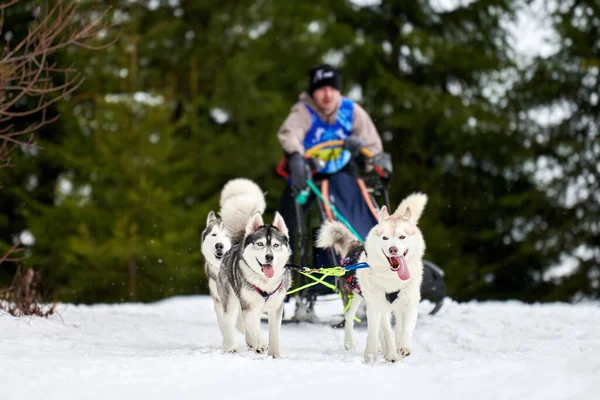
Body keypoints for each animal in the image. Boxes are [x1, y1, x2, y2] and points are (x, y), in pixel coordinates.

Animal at [217, 211, 292, 358]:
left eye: (276, 245)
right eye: (260, 243)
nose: (269, 257)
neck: (265, 283)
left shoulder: (276, 308)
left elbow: (274, 334)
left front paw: (274, 355)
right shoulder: (249, 307)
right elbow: (255, 328)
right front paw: (261, 344)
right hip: (230, 300)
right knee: (227, 321)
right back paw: (231, 346)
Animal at [318, 193, 426, 362]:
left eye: (402, 237)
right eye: (385, 238)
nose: (393, 249)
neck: (392, 279)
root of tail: (355, 245)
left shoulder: (409, 303)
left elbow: (405, 328)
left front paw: (402, 348)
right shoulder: (378, 304)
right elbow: (386, 332)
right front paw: (390, 353)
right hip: (354, 298)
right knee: (350, 318)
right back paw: (354, 344)